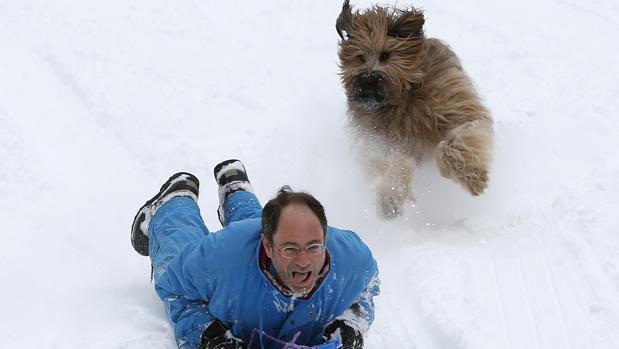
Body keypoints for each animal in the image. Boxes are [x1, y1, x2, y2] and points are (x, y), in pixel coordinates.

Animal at [336, 0, 492, 218]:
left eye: (385, 55)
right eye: (360, 57)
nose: (368, 78)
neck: (403, 97)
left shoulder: (453, 107)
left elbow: (456, 140)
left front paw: (472, 176)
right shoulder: (381, 140)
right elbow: (396, 164)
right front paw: (390, 198)